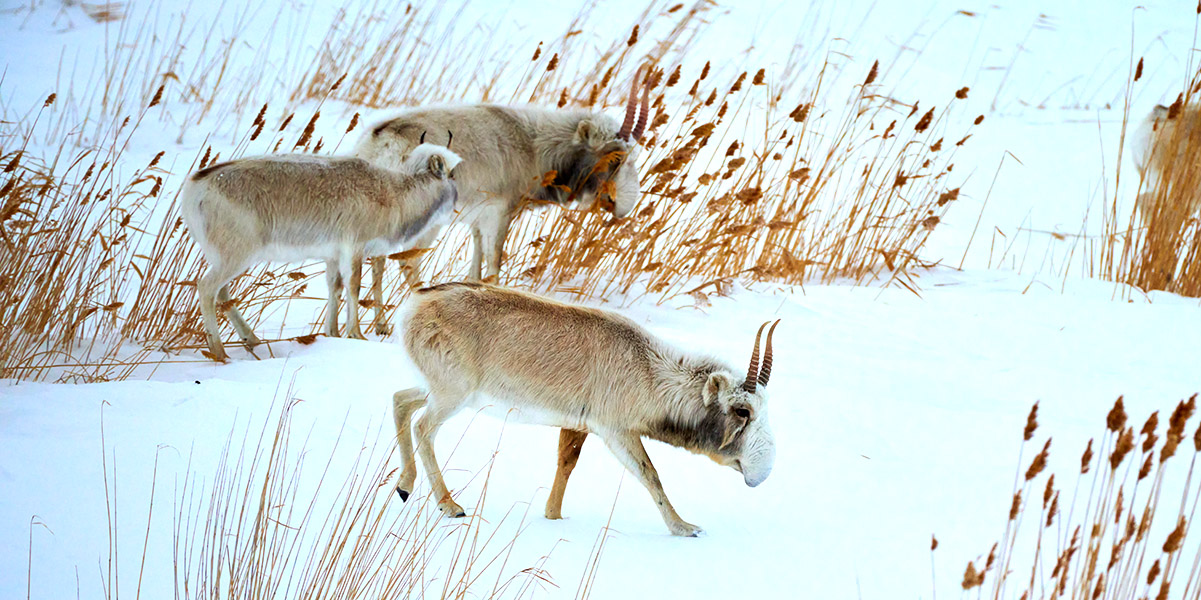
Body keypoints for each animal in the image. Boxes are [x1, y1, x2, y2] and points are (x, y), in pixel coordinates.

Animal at [180, 143, 462, 361]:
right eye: (451, 173)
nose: (459, 204)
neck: (394, 195)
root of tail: (195, 187)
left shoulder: (332, 256)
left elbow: (334, 287)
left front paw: (332, 333)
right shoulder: (354, 248)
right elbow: (353, 286)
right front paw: (356, 334)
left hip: (225, 257)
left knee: (222, 293)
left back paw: (252, 339)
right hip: (236, 256)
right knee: (206, 288)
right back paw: (220, 352)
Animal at [353, 67, 651, 334]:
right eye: (615, 157)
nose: (624, 205)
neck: (531, 143)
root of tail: (384, 138)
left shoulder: (475, 220)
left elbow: (476, 266)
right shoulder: (499, 214)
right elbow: (494, 265)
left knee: (379, 261)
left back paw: (380, 326)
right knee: (401, 261)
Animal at [391, 282, 779, 537]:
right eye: (742, 411)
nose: (762, 472)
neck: (647, 369)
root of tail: (416, 303)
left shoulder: (578, 426)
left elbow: (566, 465)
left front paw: (553, 516)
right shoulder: (616, 431)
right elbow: (650, 474)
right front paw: (683, 527)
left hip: (443, 391)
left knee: (400, 400)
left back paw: (405, 486)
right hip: (452, 395)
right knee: (423, 427)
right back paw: (450, 505)